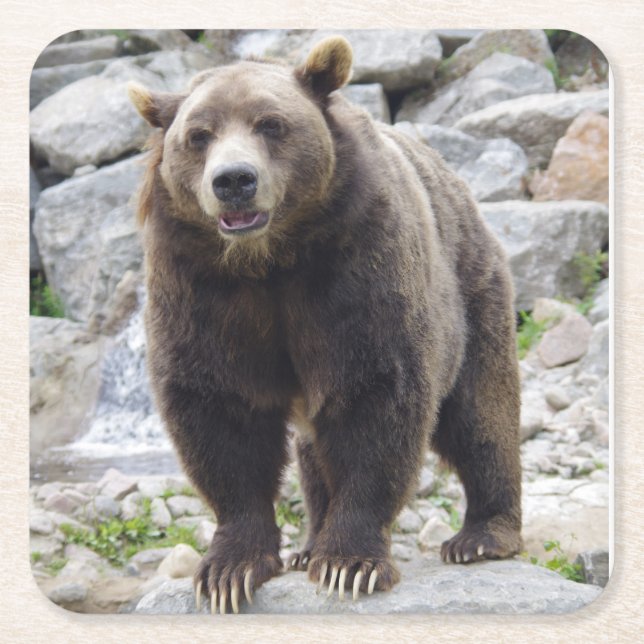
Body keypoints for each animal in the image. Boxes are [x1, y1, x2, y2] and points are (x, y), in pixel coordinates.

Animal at [128, 35, 523, 614]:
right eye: (198, 135)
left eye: (271, 123)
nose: (234, 181)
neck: (269, 261)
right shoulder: (200, 286)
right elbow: (220, 409)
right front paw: (230, 570)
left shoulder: (355, 264)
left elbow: (374, 395)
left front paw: (349, 563)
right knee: (314, 451)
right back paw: (307, 545)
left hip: (473, 293)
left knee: (480, 414)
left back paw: (482, 535)